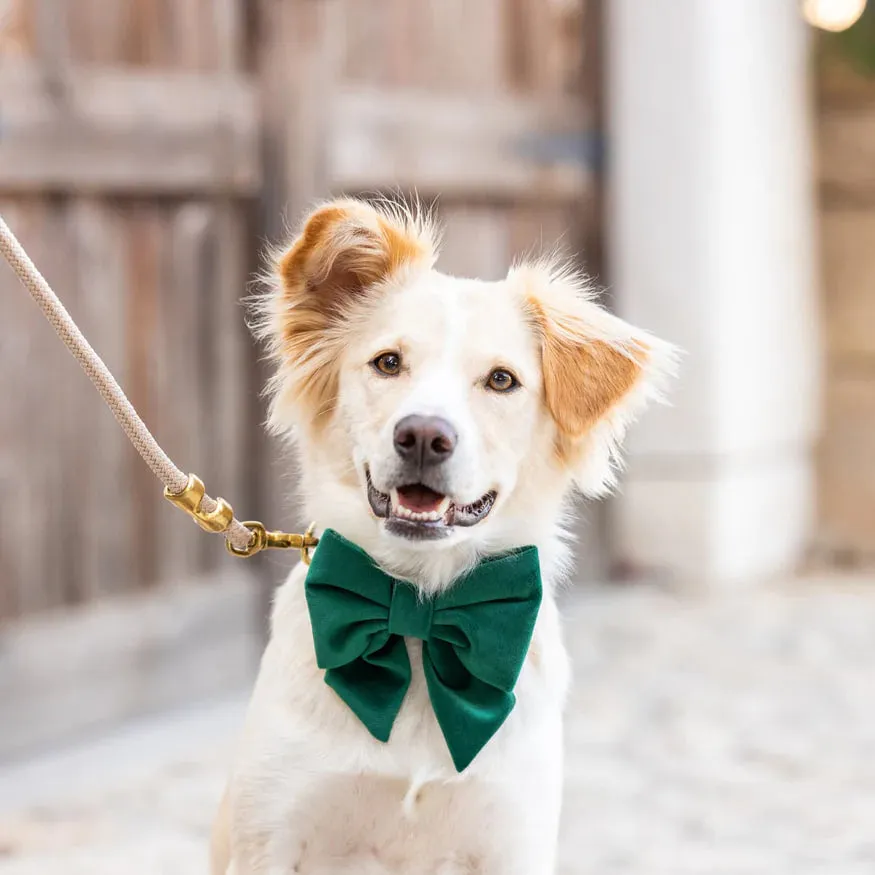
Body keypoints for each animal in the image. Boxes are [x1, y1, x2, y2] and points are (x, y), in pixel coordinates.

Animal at [214, 200, 676, 875]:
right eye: (388, 362)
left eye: (502, 380)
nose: (424, 437)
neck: (419, 620)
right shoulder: (270, 839)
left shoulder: (513, 842)